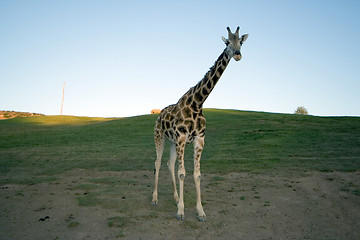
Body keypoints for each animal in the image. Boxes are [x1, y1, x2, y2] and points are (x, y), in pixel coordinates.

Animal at [151, 26, 248, 221]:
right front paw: (181, 212)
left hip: (172, 141)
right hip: (160, 137)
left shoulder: (199, 139)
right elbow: (182, 173)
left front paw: (200, 211)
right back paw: (155, 198)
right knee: (157, 163)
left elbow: (196, 175)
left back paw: (175, 197)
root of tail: (158, 115)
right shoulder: (182, 138)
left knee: (169, 164)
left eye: (240, 42)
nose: (237, 54)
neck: (197, 103)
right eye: (227, 42)